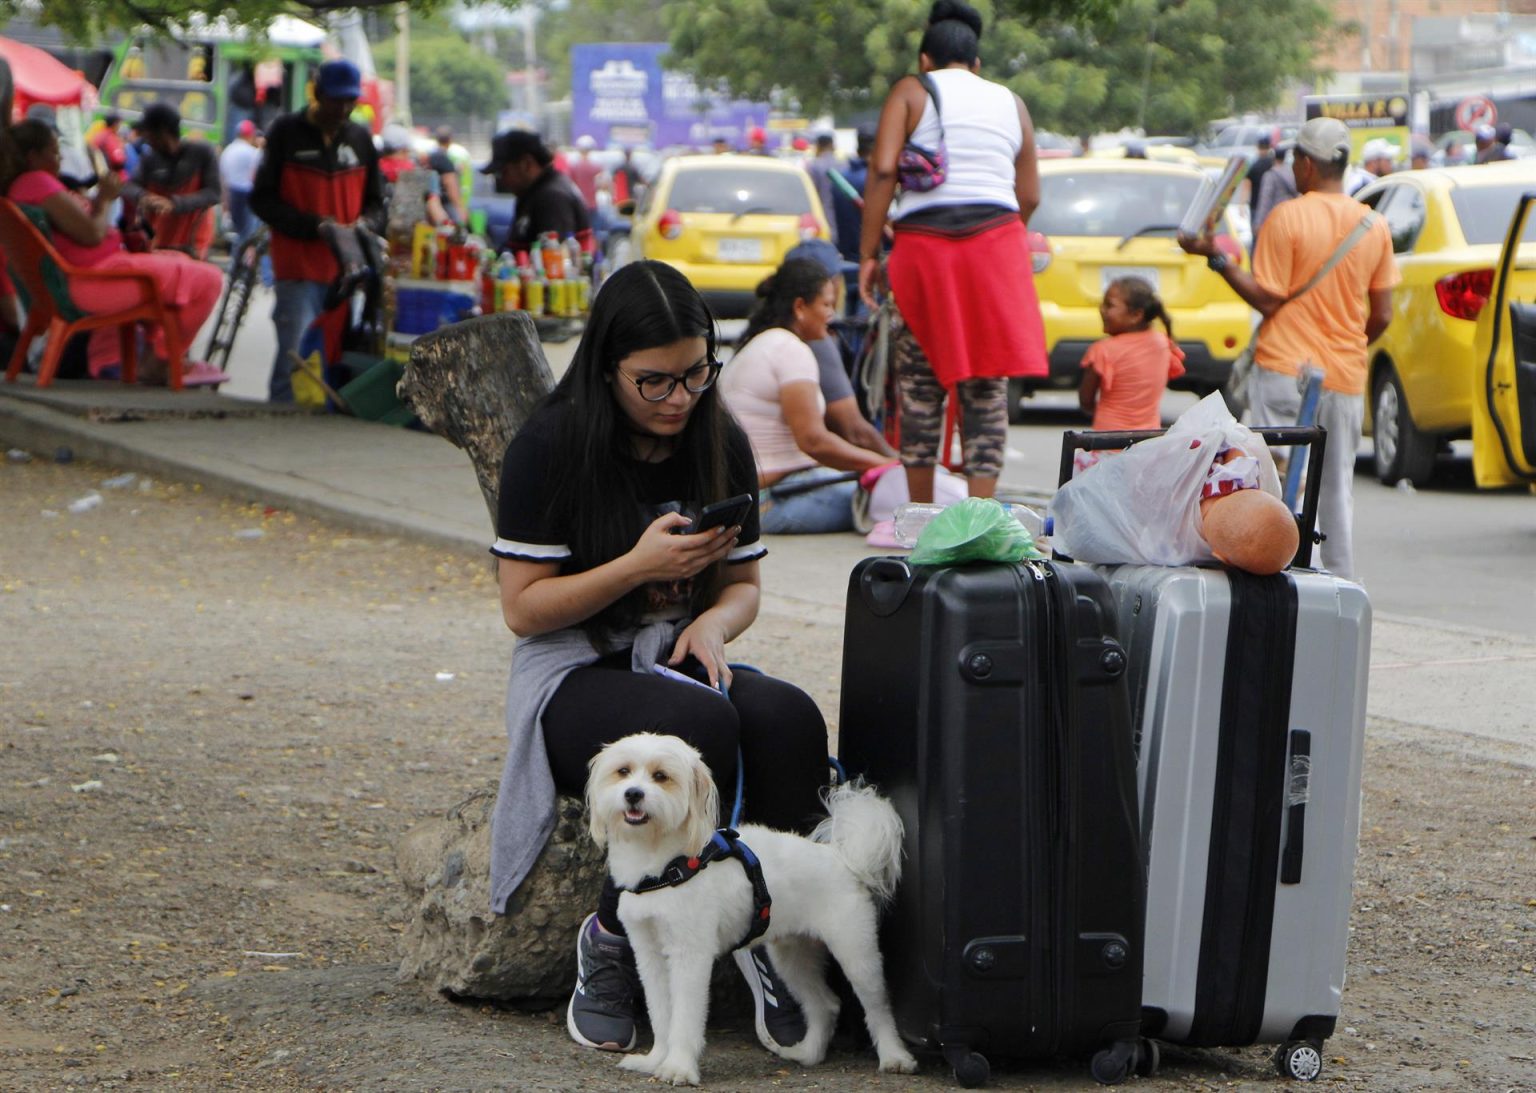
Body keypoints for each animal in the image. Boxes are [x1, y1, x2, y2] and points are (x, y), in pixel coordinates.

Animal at [583, 733, 921, 1086]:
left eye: (661, 776)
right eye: (623, 771)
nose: (633, 794)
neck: (663, 865)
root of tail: (839, 857)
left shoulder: (690, 954)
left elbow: (685, 1015)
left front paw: (678, 1066)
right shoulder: (649, 954)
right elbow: (661, 1013)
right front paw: (655, 1060)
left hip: (856, 952)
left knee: (878, 1007)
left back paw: (895, 1056)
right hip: (792, 957)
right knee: (825, 1005)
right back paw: (808, 1054)